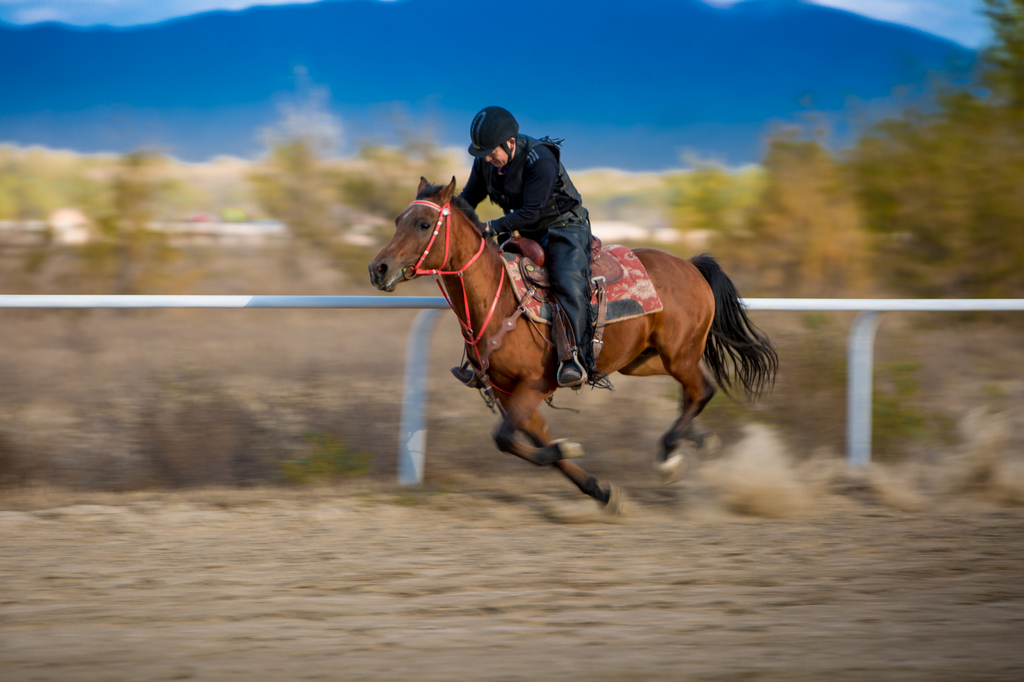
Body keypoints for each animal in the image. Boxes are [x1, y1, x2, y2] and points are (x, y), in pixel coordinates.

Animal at [368, 176, 774, 509]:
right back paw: (697, 441)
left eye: (424, 224)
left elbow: (508, 439)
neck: (499, 300)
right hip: (643, 360)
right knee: (696, 391)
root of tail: (691, 265)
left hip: (679, 354)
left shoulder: (535, 383)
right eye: (397, 221)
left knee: (701, 390)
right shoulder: (506, 392)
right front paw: (600, 490)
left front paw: (569, 448)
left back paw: (670, 456)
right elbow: (531, 441)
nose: (379, 269)